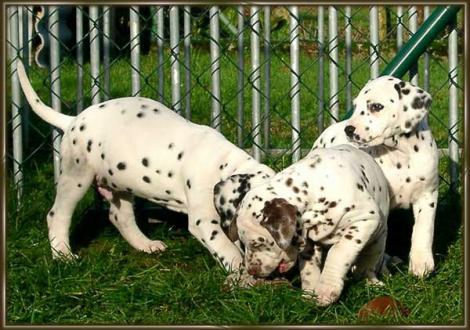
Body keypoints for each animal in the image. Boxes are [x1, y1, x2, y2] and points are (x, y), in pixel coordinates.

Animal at [15, 60, 276, 274]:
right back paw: (62, 254)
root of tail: (73, 120)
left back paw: (145, 245)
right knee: (57, 215)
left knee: (119, 217)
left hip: (120, 184)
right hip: (76, 176)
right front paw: (238, 267)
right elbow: (224, 245)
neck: (224, 163)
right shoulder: (203, 220)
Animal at [223, 146, 390, 306]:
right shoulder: (309, 241)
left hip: (378, 241)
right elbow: (309, 270)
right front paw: (310, 294)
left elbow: (338, 252)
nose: (252, 271)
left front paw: (326, 288)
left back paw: (371, 281)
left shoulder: (364, 219)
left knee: (368, 264)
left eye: (257, 243)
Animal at [312, 76, 436, 278]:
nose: (348, 129)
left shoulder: (427, 195)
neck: (401, 154)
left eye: (376, 106)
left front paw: (421, 263)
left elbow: (424, 229)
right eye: (355, 105)